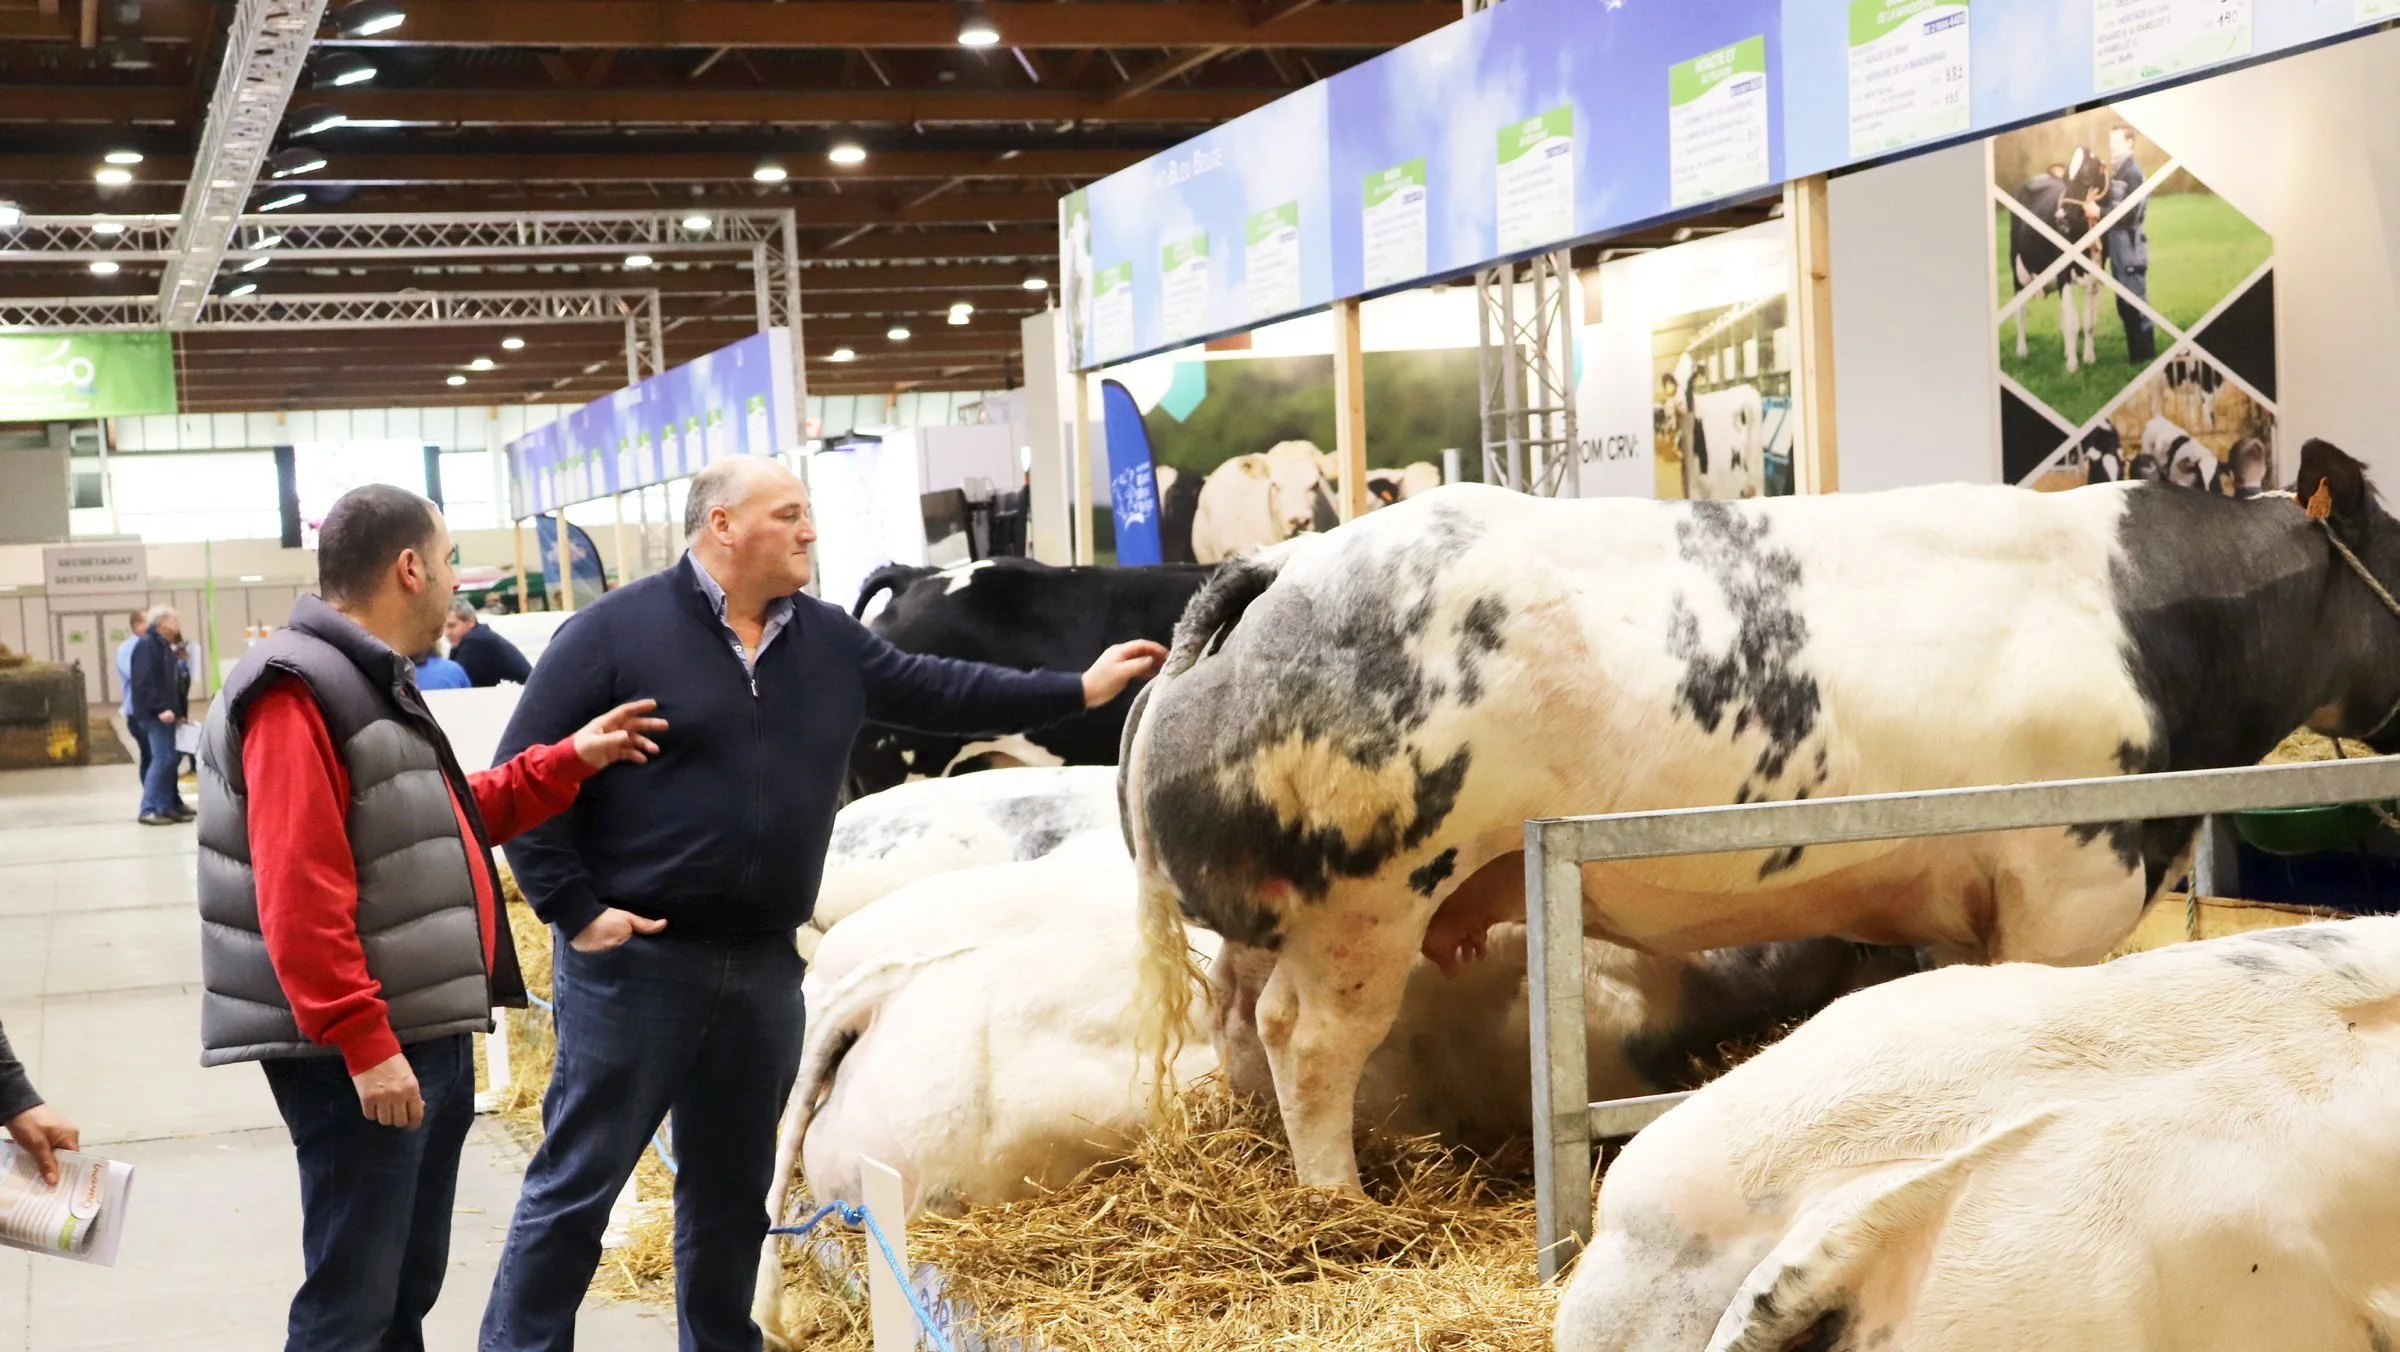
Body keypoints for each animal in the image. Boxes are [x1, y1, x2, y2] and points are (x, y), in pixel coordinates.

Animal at [1123, 441, 2400, 1195]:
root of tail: (1281, 567)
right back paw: (1337, 1199)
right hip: (1367, 905)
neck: (2148, 628)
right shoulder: (2065, 882)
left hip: (1288, 917)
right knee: (1309, 1041)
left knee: (1244, 1021)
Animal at [2006, 149, 2121, 374]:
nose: (2060, 217)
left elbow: (2088, 322)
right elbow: (2071, 323)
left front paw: (2088, 358)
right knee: (2021, 312)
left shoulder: (2096, 275)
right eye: (2065, 180)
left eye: (2087, 176)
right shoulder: (2063, 273)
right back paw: (2022, 351)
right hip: (2018, 269)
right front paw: (2072, 366)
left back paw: (2067, 351)